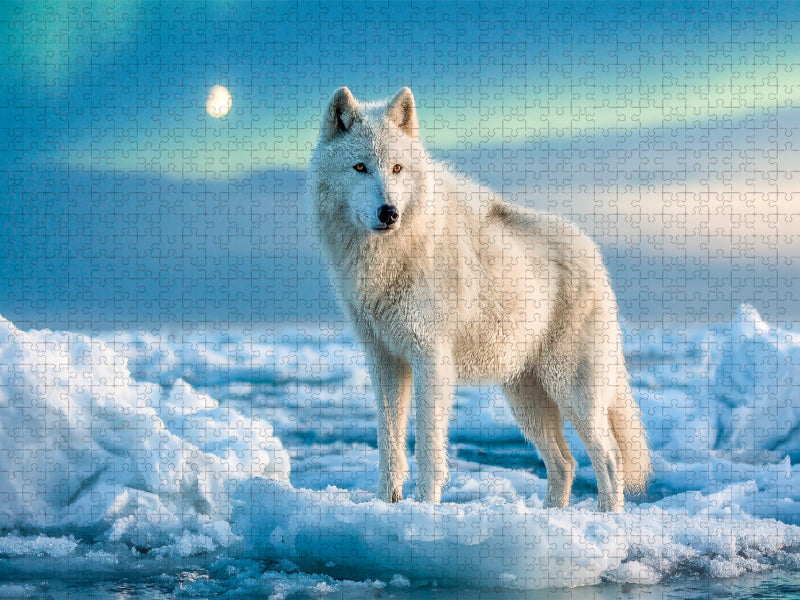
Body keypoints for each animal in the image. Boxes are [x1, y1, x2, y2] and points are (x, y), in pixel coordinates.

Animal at [307, 86, 650, 512]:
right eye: (360, 167)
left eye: (398, 169)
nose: (389, 213)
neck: (392, 256)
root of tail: (595, 256)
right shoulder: (384, 359)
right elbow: (389, 443)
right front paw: (387, 504)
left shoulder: (431, 357)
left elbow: (428, 445)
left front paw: (425, 507)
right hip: (526, 399)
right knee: (565, 463)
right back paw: (551, 516)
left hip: (571, 390)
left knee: (609, 456)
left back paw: (606, 518)